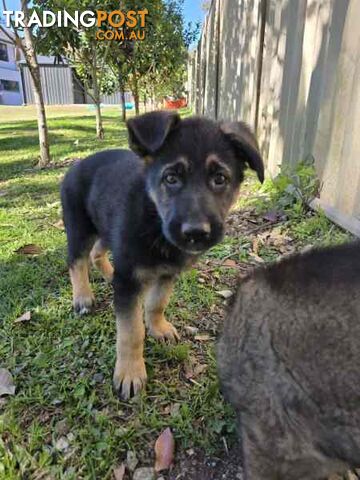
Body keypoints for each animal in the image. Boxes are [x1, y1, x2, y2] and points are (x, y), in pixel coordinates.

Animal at [61, 110, 264, 400]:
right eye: (171, 178)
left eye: (220, 179)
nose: (195, 233)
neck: (154, 219)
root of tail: (76, 165)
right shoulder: (129, 281)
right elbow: (131, 331)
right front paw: (130, 371)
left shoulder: (168, 273)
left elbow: (157, 302)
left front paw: (158, 327)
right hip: (79, 228)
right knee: (76, 261)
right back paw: (82, 296)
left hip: (107, 230)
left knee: (98, 252)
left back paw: (109, 273)